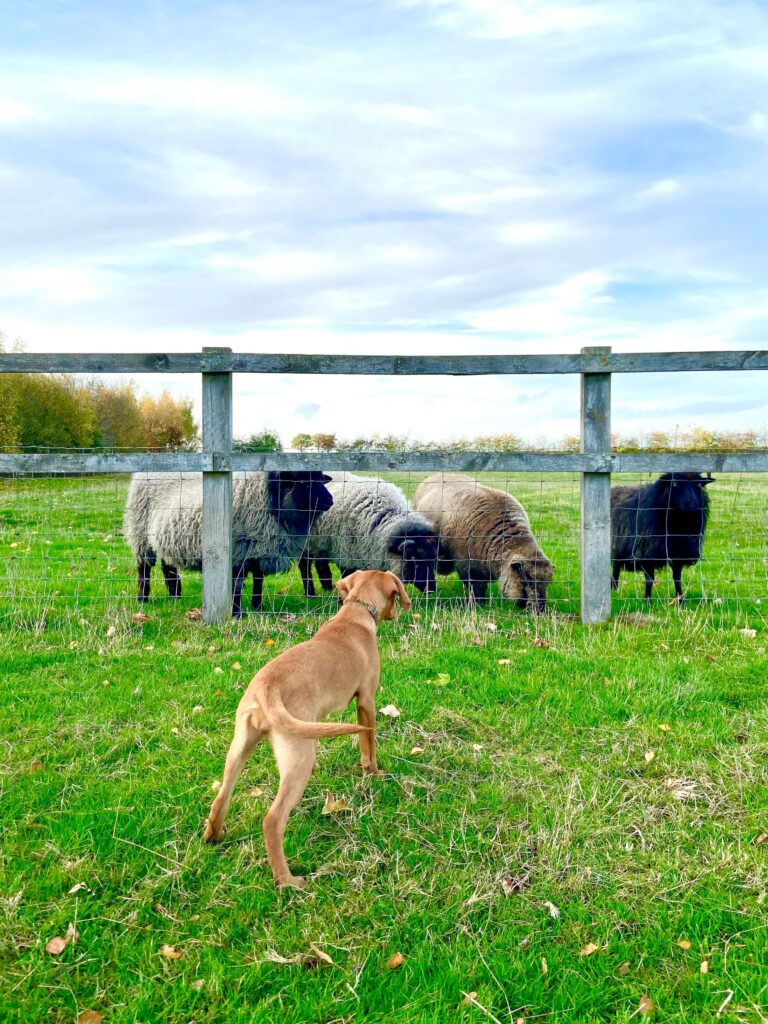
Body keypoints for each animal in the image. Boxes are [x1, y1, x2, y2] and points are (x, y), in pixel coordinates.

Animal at [123, 471, 333, 614]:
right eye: (303, 482)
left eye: (320, 478)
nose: (330, 501)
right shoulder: (238, 551)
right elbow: (237, 585)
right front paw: (237, 612)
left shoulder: (259, 549)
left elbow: (258, 580)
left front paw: (258, 606)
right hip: (141, 534)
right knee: (143, 568)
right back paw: (142, 598)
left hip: (165, 536)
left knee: (168, 566)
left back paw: (175, 594)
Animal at [201, 569, 411, 888]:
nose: (397, 614)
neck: (355, 614)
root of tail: (267, 688)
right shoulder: (367, 701)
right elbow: (368, 743)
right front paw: (373, 772)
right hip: (296, 757)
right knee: (272, 820)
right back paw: (287, 881)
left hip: (239, 747)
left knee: (220, 798)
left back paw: (213, 835)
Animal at [415, 473, 552, 610]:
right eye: (526, 580)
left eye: (547, 583)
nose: (540, 609)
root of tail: (436, 475)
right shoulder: (467, 566)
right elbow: (476, 588)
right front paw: (478, 605)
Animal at [614, 468, 716, 598]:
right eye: (674, 484)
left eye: (699, 484)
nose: (692, 503)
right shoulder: (647, 553)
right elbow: (649, 580)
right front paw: (648, 601)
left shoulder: (678, 554)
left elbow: (677, 578)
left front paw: (680, 599)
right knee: (615, 568)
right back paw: (614, 589)